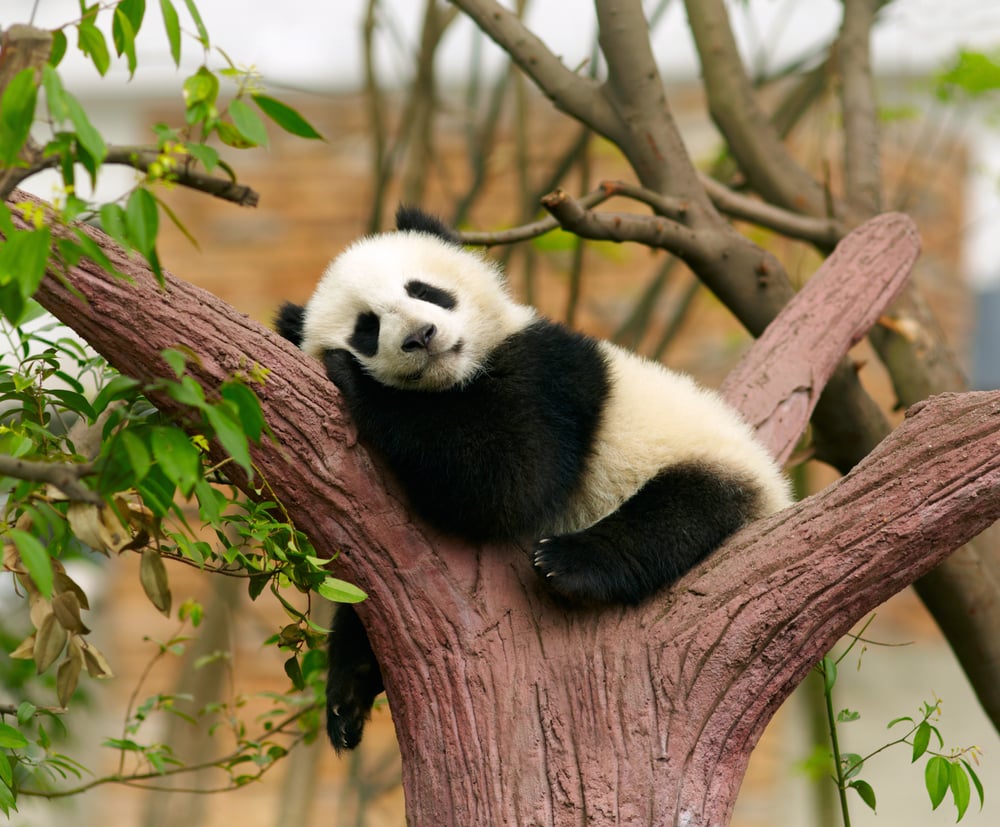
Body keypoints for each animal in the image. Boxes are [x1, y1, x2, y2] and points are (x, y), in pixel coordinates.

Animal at [276, 206, 791, 751]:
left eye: (424, 291)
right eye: (367, 328)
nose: (421, 336)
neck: (455, 378)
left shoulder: (547, 374)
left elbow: (509, 479)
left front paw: (355, 379)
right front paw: (347, 691)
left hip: (707, 460)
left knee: (679, 512)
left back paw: (570, 562)